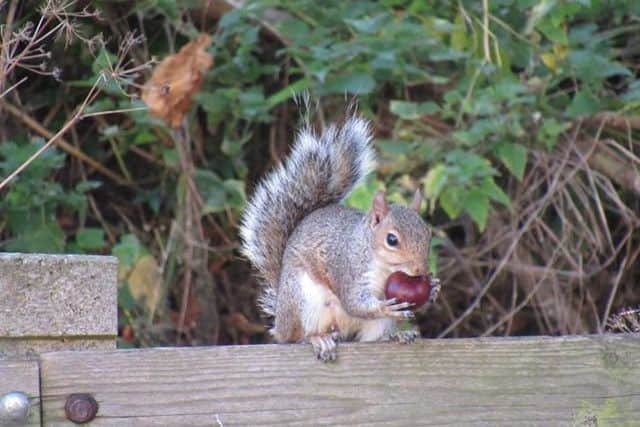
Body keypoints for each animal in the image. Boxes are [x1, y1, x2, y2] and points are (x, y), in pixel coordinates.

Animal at [240, 114, 439, 361]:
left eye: (428, 233)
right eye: (392, 240)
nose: (422, 270)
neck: (384, 266)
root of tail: (280, 320)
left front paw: (434, 288)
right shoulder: (347, 268)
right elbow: (354, 302)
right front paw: (385, 307)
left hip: (375, 325)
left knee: (371, 339)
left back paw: (397, 336)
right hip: (304, 300)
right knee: (297, 338)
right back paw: (318, 339)